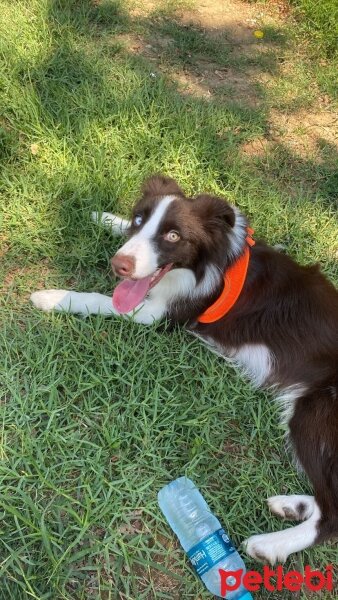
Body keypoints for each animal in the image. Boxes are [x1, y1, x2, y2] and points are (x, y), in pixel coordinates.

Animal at [31, 175, 338, 568]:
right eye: (140, 219)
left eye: (174, 236)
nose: (120, 265)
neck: (209, 261)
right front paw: (106, 218)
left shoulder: (156, 315)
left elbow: (99, 299)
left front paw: (52, 297)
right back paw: (293, 505)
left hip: (313, 413)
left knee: (333, 514)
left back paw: (271, 543)